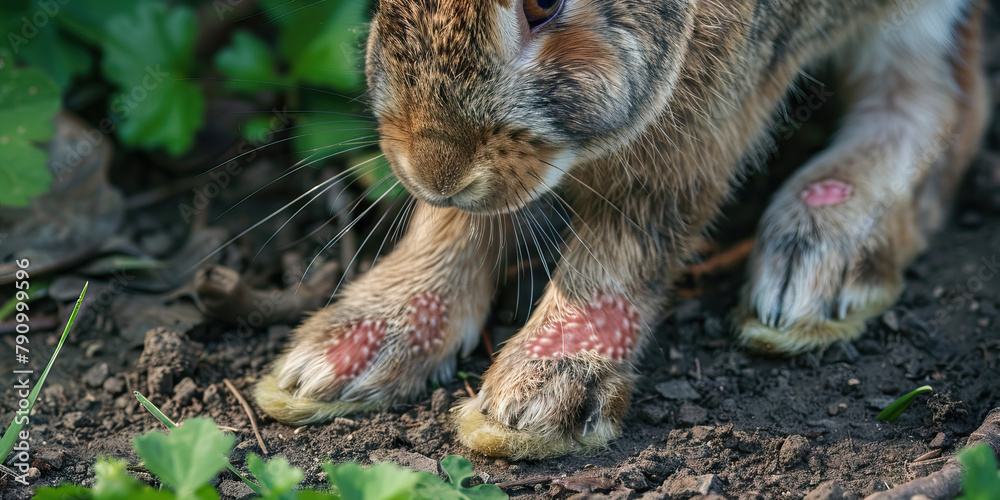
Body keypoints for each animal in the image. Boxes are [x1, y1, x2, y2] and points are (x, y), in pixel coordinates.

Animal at [254, 0, 989, 459]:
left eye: (545, 2)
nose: (434, 169)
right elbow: (459, 222)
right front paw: (344, 354)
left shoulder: (707, 114)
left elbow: (630, 238)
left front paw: (533, 402)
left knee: (941, 102)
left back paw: (814, 268)